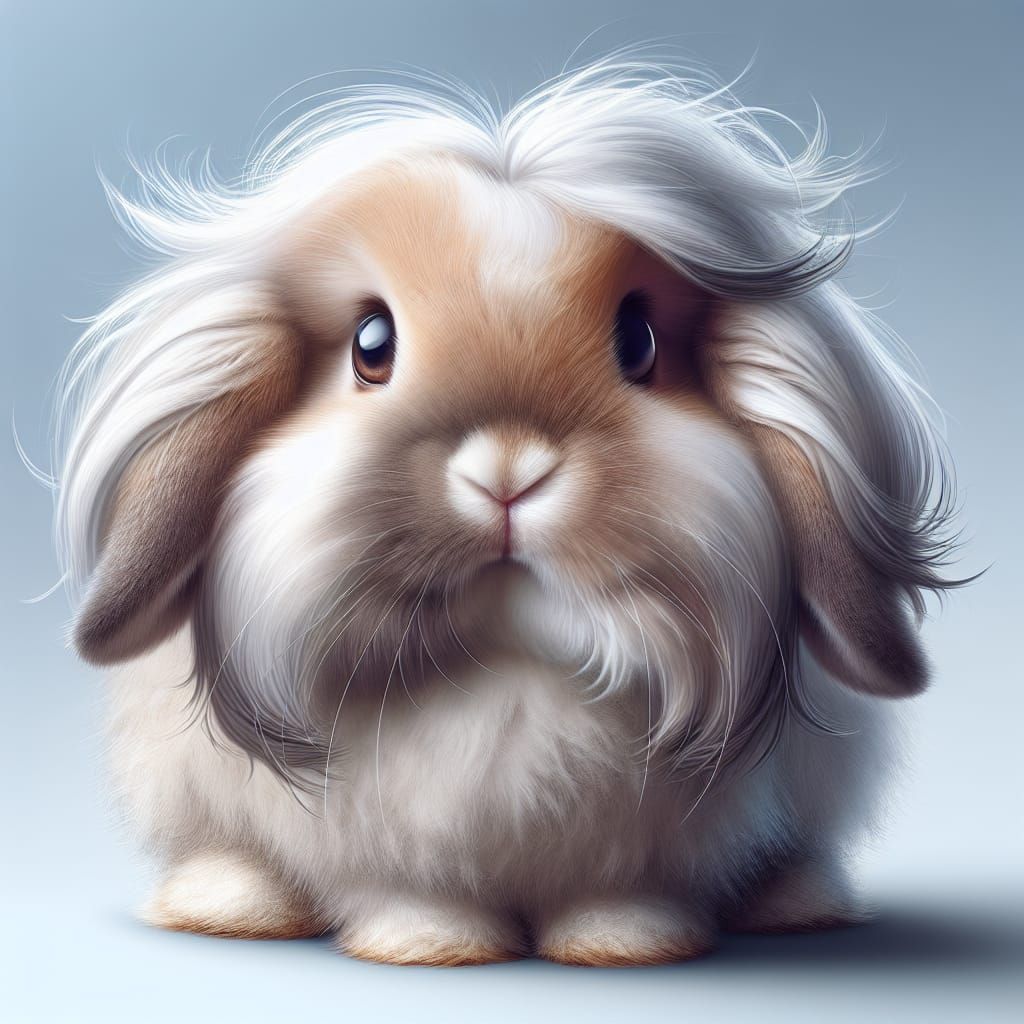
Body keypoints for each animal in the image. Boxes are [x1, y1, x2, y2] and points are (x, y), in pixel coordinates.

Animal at [54, 60, 960, 966]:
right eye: (371, 344)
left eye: (639, 342)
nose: (508, 470)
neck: (511, 656)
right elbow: (414, 891)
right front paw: (430, 942)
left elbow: (624, 893)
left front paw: (625, 942)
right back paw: (229, 904)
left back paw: (797, 903)